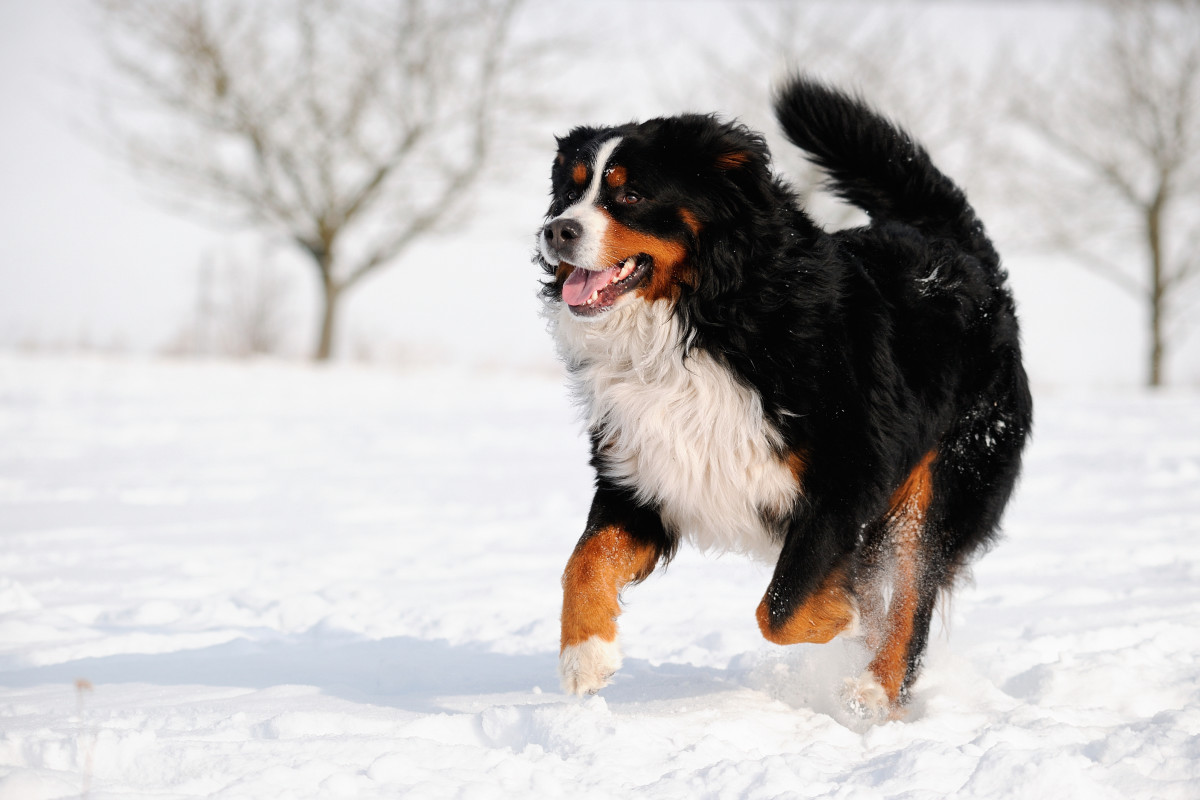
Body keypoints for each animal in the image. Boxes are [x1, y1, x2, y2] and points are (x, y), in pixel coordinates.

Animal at [535, 76, 1032, 724]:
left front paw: (846, 618)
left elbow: (781, 608)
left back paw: (874, 690)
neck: (705, 321)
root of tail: (965, 258)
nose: (556, 231)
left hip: (948, 478)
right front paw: (586, 655)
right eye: (569, 192)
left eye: (631, 193)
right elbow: (585, 562)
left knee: (912, 594)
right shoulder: (640, 473)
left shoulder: (844, 479)